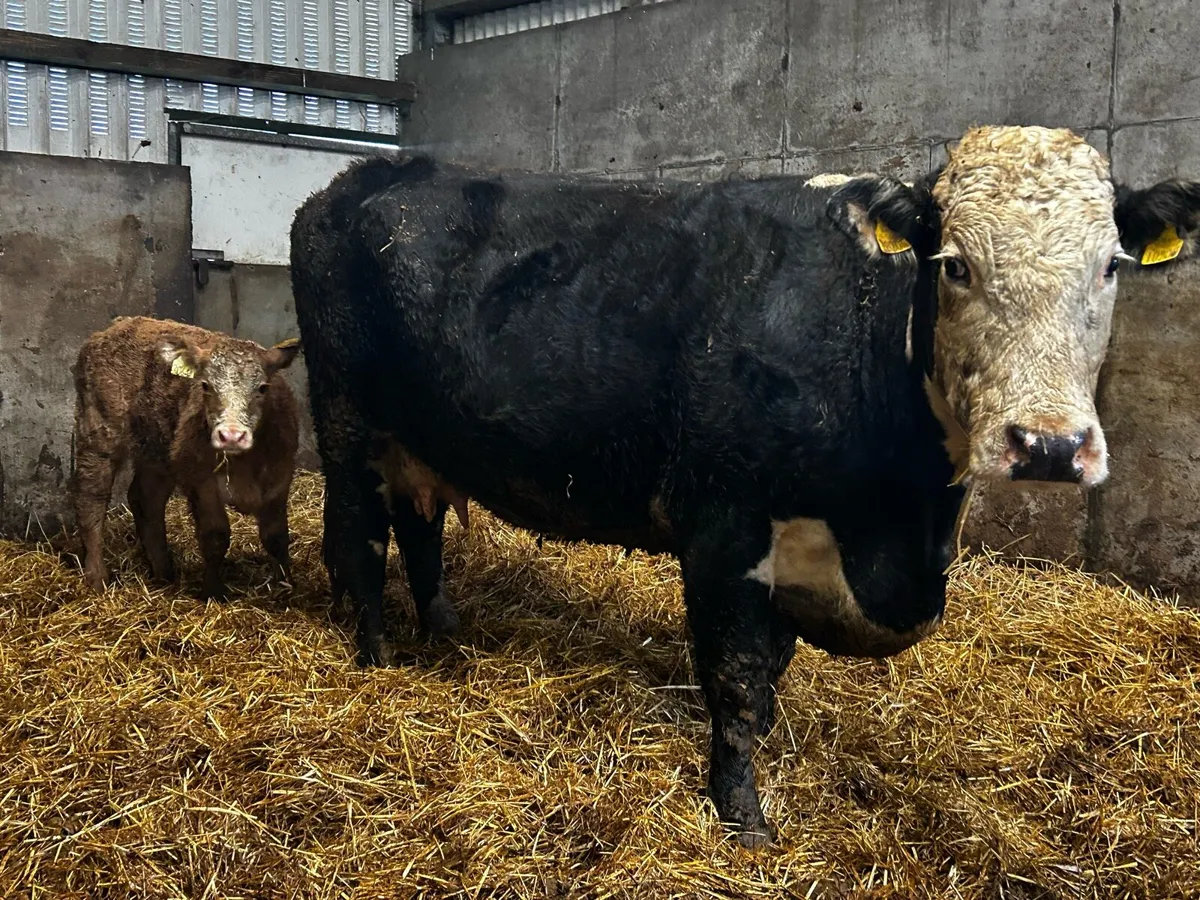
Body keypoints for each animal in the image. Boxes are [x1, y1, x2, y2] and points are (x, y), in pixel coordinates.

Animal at [73, 316, 302, 601]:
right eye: (205, 386)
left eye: (262, 388)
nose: (231, 435)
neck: (242, 466)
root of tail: (118, 325)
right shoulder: (201, 483)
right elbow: (215, 536)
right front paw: (214, 593)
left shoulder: (279, 480)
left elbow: (277, 537)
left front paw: (286, 587)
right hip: (99, 430)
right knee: (91, 498)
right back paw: (97, 577)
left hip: (157, 451)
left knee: (145, 499)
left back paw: (163, 573)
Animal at [288, 126, 1200, 848]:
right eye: (955, 266)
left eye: (1110, 267)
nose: (1049, 445)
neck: (901, 530)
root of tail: (361, 176)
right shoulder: (723, 532)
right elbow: (735, 678)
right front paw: (743, 819)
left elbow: (768, 684)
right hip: (345, 423)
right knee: (360, 542)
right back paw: (377, 659)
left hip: (418, 440)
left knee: (421, 531)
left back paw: (442, 637)